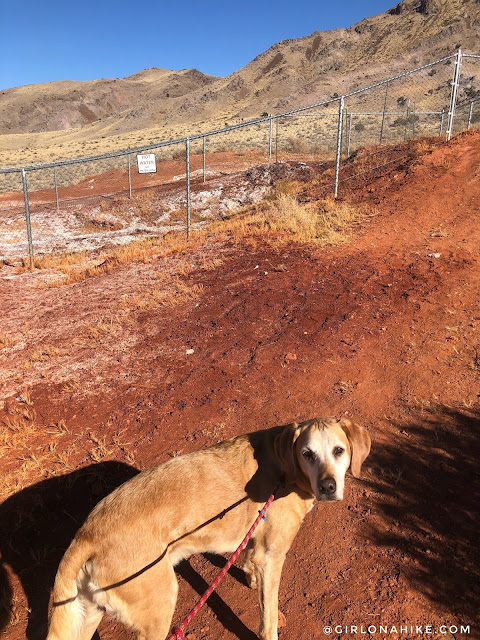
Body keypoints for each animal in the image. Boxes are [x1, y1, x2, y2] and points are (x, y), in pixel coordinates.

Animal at [47, 418, 372, 640]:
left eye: (339, 450)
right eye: (307, 454)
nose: (328, 486)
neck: (286, 469)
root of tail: (87, 534)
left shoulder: (255, 541)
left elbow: (248, 560)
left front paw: (249, 576)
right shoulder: (272, 557)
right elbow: (268, 618)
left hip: (87, 616)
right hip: (159, 607)